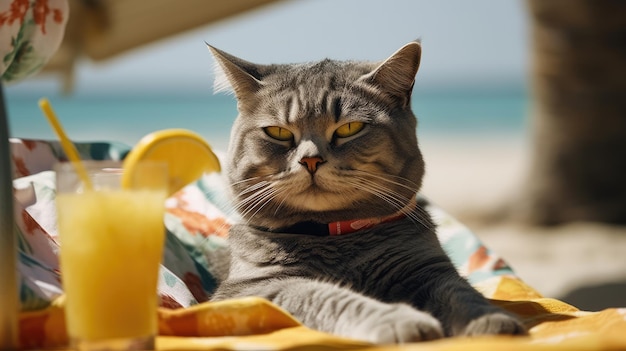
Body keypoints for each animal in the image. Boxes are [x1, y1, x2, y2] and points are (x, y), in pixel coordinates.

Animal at [207, 40, 524, 344]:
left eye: (350, 128)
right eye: (279, 133)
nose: (311, 160)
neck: (332, 236)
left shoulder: (427, 268)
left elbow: (460, 294)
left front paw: (490, 320)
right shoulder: (256, 289)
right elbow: (329, 297)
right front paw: (398, 320)